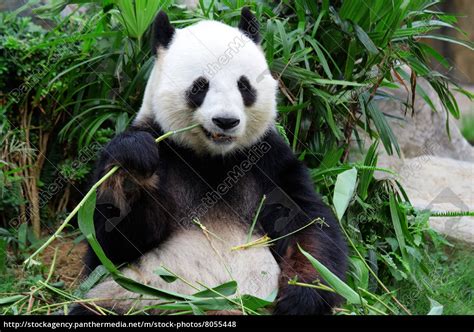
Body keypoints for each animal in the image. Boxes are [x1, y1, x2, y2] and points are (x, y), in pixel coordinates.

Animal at [73, 7, 348, 314]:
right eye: (199, 86)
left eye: (244, 85)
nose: (225, 121)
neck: (213, 159)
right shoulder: (165, 149)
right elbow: (111, 244)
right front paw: (133, 167)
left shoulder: (268, 161)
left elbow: (308, 225)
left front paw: (301, 295)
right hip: (132, 298)